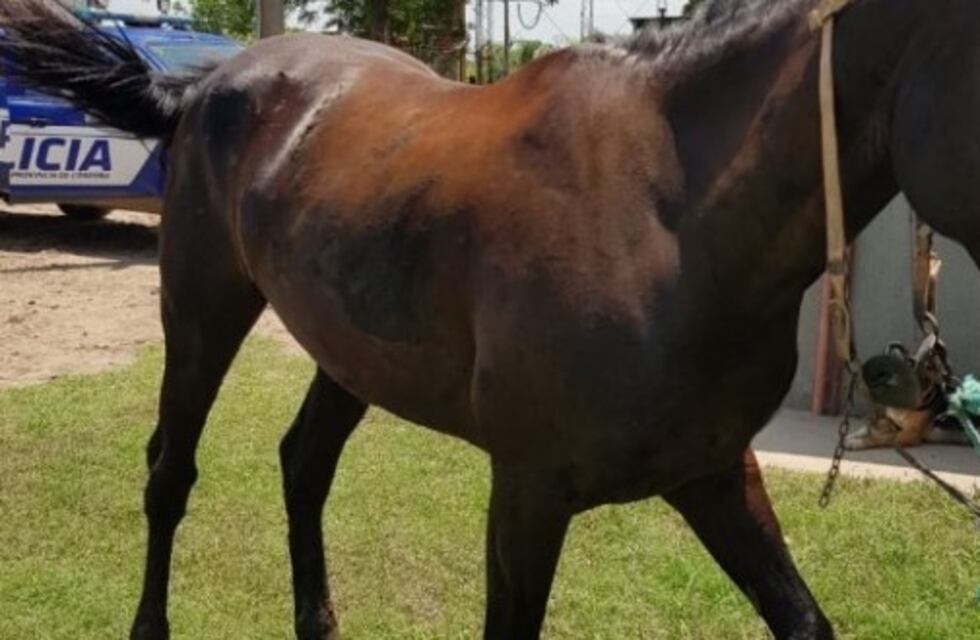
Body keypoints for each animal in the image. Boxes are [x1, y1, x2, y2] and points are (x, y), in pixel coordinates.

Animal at [2, 0, 976, 638]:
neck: (669, 215)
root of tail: (207, 83)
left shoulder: (714, 472)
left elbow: (803, 619)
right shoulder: (528, 494)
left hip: (349, 353)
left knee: (303, 466)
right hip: (202, 311)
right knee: (170, 473)